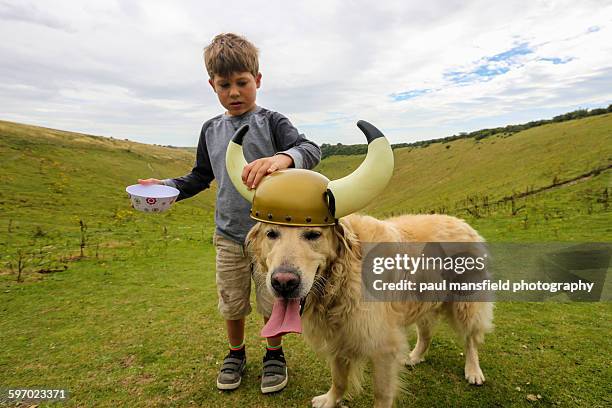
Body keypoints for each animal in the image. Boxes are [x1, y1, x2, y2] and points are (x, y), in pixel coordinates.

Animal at [246, 212, 494, 406]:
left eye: (313, 235)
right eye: (271, 234)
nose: (283, 283)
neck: (341, 279)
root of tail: (462, 222)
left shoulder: (383, 347)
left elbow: (381, 393)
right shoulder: (337, 336)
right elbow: (339, 378)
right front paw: (330, 399)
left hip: (466, 304)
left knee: (471, 339)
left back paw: (473, 371)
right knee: (426, 333)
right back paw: (414, 357)